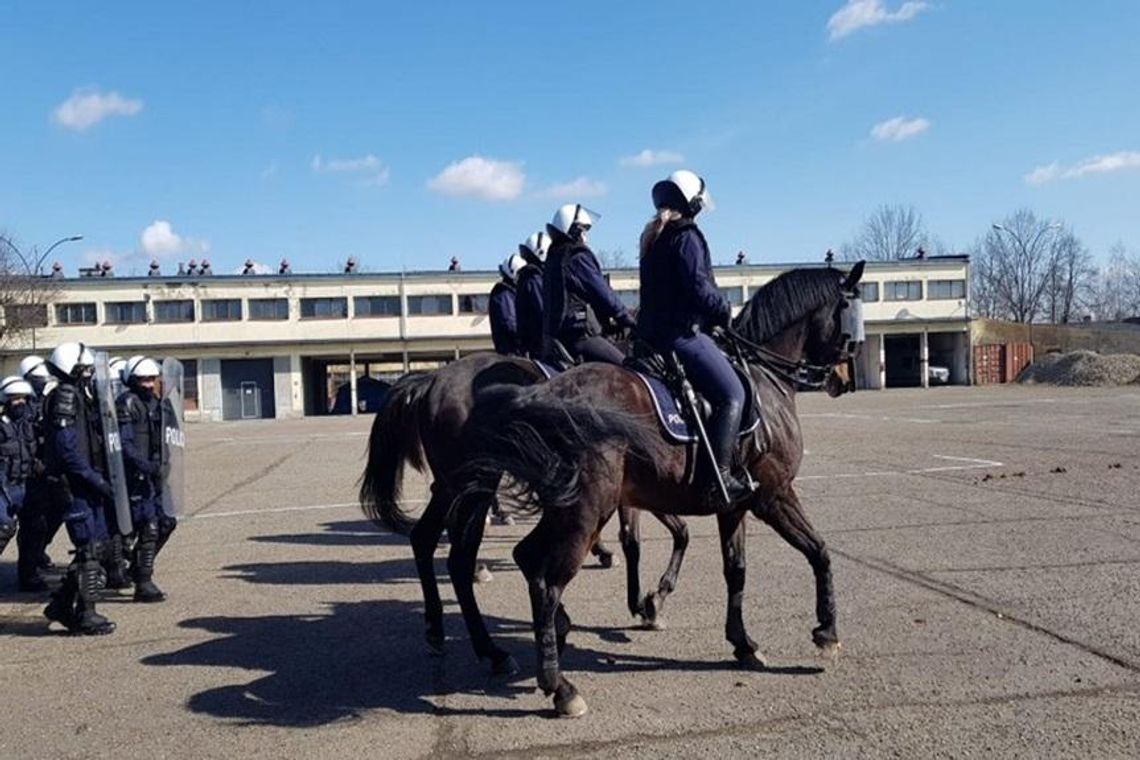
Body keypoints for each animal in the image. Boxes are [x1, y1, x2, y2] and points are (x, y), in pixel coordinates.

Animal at [360, 353, 688, 674]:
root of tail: (432, 379)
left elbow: (663, 534)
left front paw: (642, 600)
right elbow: (644, 538)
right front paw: (645, 600)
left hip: (451, 486)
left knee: (423, 538)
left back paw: (436, 629)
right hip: (475, 484)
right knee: (459, 559)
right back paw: (492, 650)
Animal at [449, 263, 866, 720]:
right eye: (851, 312)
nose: (844, 379)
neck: (764, 380)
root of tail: (539, 393)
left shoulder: (733, 506)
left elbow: (735, 570)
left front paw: (741, 643)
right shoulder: (774, 496)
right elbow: (819, 552)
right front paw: (827, 632)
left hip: (572, 508)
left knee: (527, 557)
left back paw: (554, 639)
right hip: (586, 510)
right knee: (547, 579)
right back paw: (559, 685)